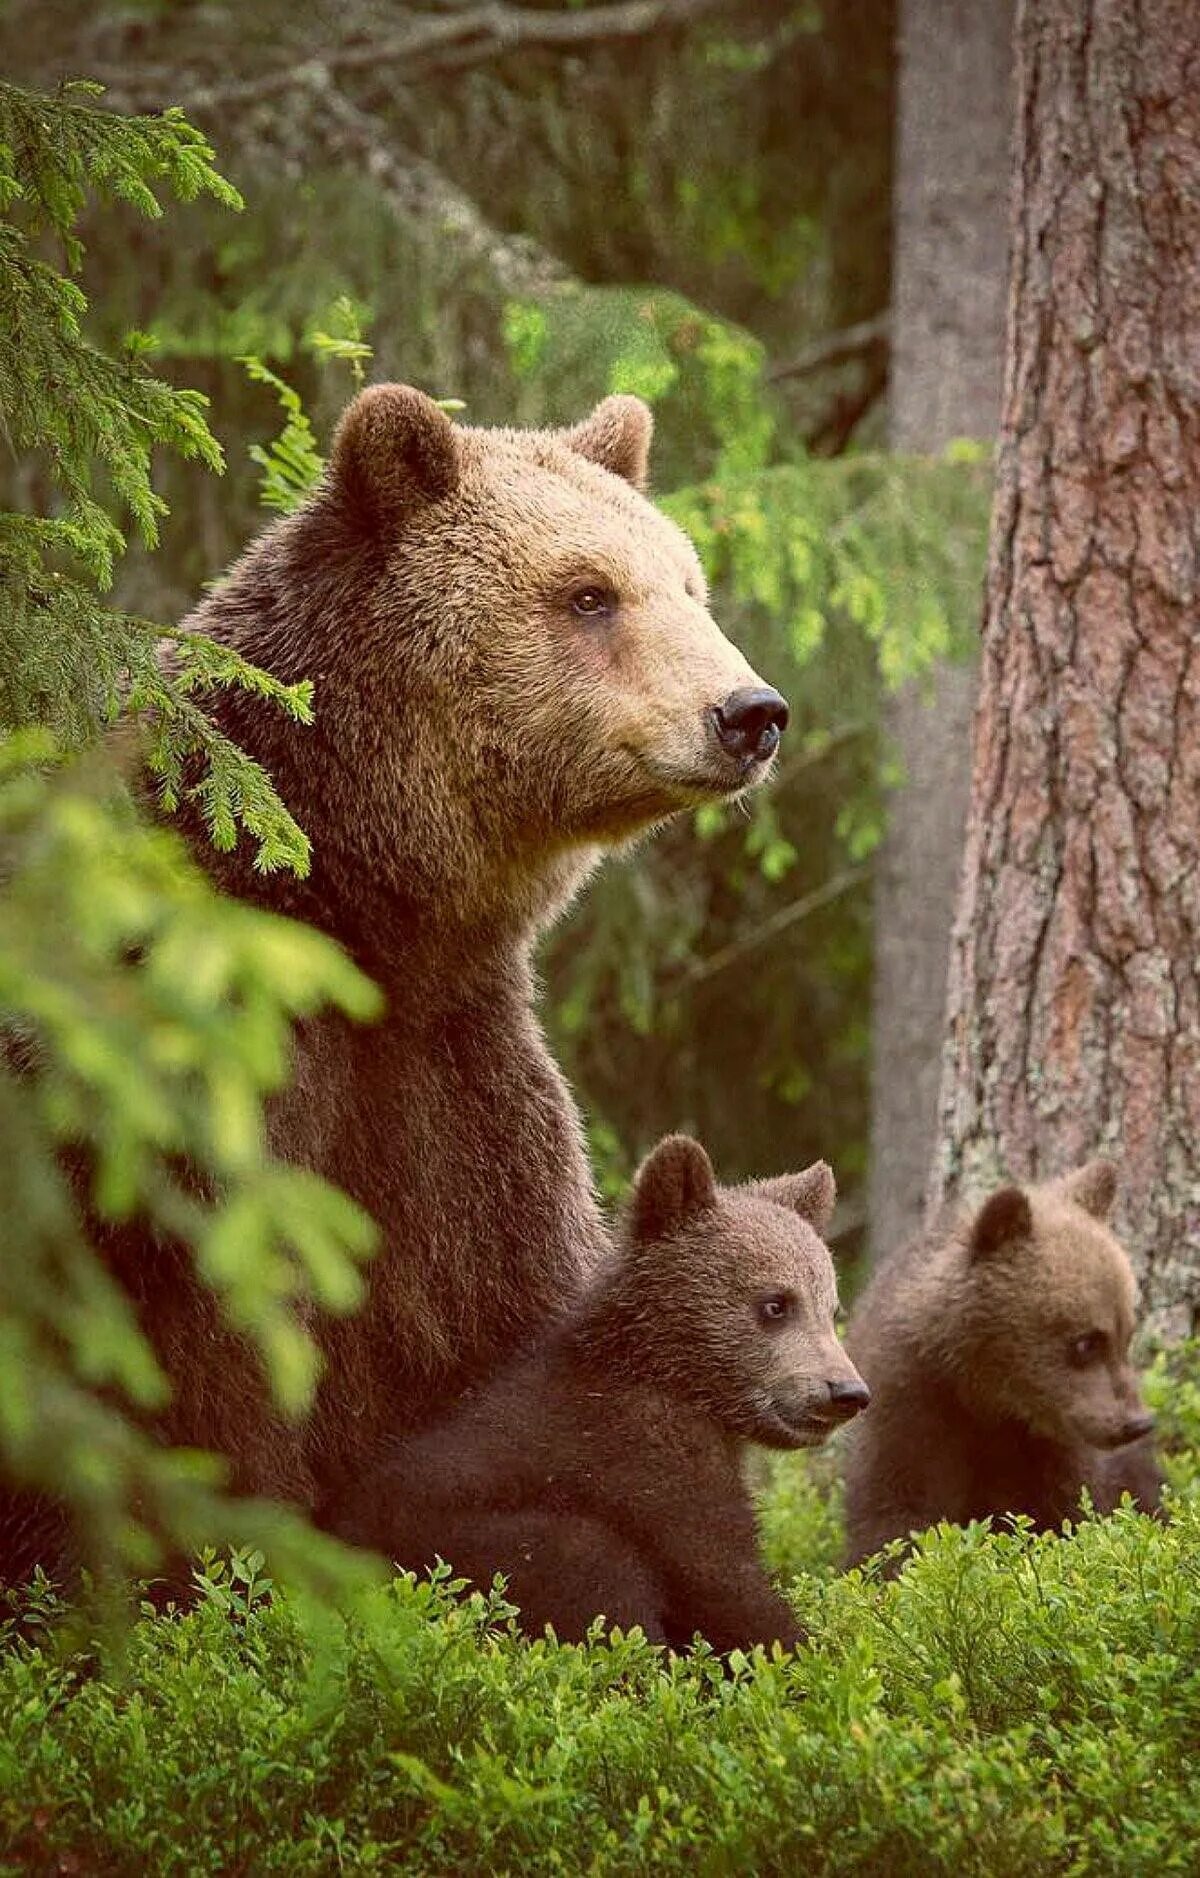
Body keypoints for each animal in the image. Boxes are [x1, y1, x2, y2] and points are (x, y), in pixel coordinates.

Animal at [2, 384, 788, 1585]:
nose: (750, 712)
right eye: (589, 593)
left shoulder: (454, 1094)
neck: (355, 917)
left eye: (688, 584)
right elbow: (216, 1391)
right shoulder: (187, 1108)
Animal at [328, 1134, 871, 1652]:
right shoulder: (642, 1455)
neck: (676, 1378)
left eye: (831, 1307)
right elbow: (717, 1575)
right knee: (589, 1566)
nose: (847, 1392)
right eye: (776, 1304)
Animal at [845, 1156, 1164, 1570]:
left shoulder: (1053, 1451)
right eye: (1085, 1342)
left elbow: (1075, 1510)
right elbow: (894, 1522)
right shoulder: (911, 1414)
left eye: (1126, 1333)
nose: (1136, 1423)